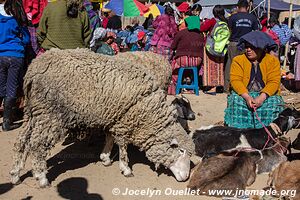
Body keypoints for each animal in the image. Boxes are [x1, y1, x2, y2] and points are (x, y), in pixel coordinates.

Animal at [9, 48, 195, 188]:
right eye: (180, 151)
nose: (186, 177)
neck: (149, 111)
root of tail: (33, 70)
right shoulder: (125, 121)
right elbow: (122, 145)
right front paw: (125, 168)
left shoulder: (115, 117)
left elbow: (110, 138)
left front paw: (105, 157)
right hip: (50, 115)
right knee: (37, 145)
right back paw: (41, 177)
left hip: (33, 113)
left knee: (22, 141)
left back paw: (16, 173)